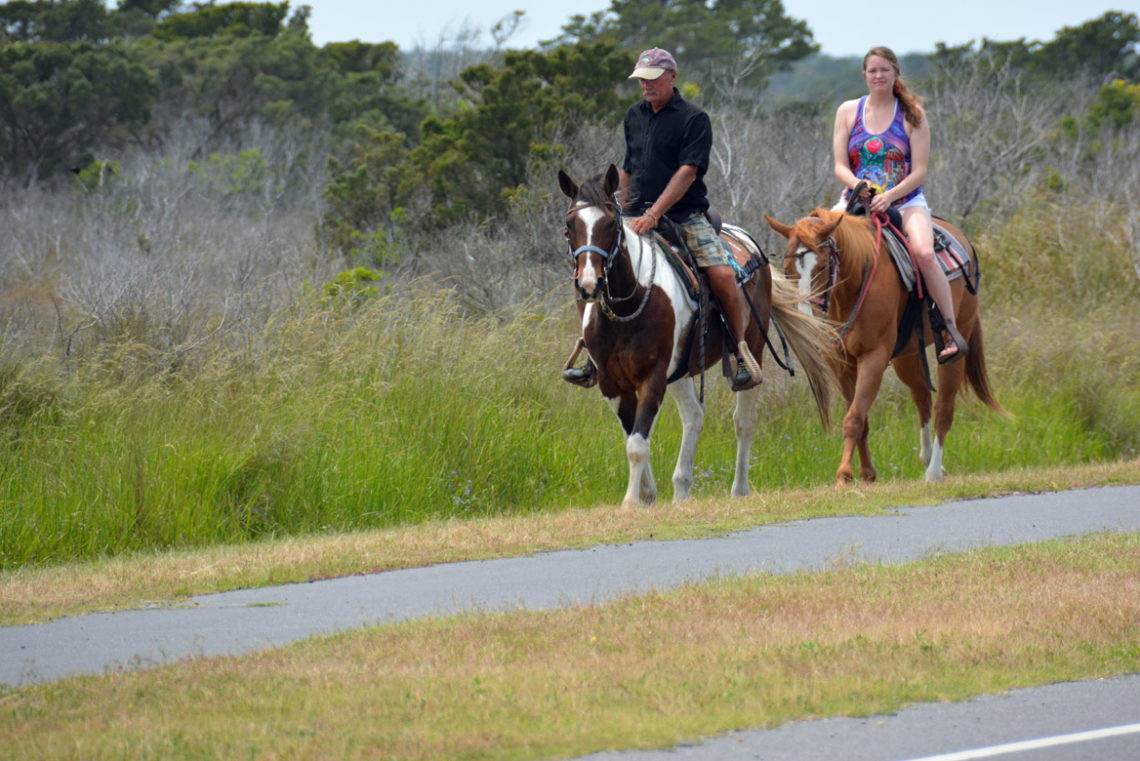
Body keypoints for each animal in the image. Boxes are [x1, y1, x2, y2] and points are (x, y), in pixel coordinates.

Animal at [560, 169, 839, 508]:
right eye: (569, 226)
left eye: (611, 224)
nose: (589, 284)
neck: (631, 303)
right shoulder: (612, 383)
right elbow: (633, 435)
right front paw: (647, 495)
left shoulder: (653, 377)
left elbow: (637, 444)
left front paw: (630, 502)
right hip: (681, 371)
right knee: (694, 415)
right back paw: (681, 490)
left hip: (752, 348)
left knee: (744, 421)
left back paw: (739, 489)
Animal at [766, 205, 1007, 485]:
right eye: (787, 269)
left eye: (824, 265)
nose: (808, 316)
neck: (852, 289)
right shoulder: (843, 364)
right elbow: (861, 418)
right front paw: (866, 474)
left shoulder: (874, 357)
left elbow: (854, 417)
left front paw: (843, 475)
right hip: (906, 358)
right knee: (923, 398)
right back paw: (927, 459)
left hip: (956, 345)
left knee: (944, 408)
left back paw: (934, 471)